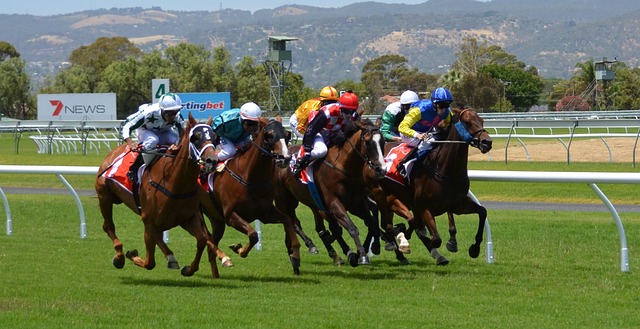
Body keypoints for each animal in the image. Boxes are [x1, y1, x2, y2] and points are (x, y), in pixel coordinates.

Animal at [95, 113, 219, 276]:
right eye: (196, 137)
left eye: (215, 137)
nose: (212, 161)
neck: (174, 183)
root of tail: (112, 153)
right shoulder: (148, 221)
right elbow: (149, 263)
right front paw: (132, 255)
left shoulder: (188, 218)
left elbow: (202, 240)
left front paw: (188, 269)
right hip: (105, 196)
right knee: (108, 226)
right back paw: (119, 256)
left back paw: (170, 257)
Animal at [198, 116, 302, 272]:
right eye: (269, 135)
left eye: (287, 134)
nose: (285, 158)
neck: (250, 177)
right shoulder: (231, 215)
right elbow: (253, 235)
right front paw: (239, 249)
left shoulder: (265, 213)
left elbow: (288, 220)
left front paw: (295, 255)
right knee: (204, 238)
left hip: (216, 219)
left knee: (211, 245)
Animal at [274, 118, 388, 266]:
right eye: (368, 142)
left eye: (383, 141)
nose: (381, 169)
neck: (343, 168)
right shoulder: (333, 203)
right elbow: (351, 228)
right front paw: (362, 255)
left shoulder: (356, 204)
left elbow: (371, 224)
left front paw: (370, 249)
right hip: (285, 201)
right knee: (293, 223)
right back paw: (310, 246)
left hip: (311, 203)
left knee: (318, 228)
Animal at [370, 107, 496, 262]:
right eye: (467, 122)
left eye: (482, 120)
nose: (487, 142)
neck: (445, 170)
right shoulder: (425, 207)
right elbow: (435, 239)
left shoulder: (456, 204)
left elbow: (482, 212)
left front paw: (474, 248)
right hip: (384, 196)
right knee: (386, 223)